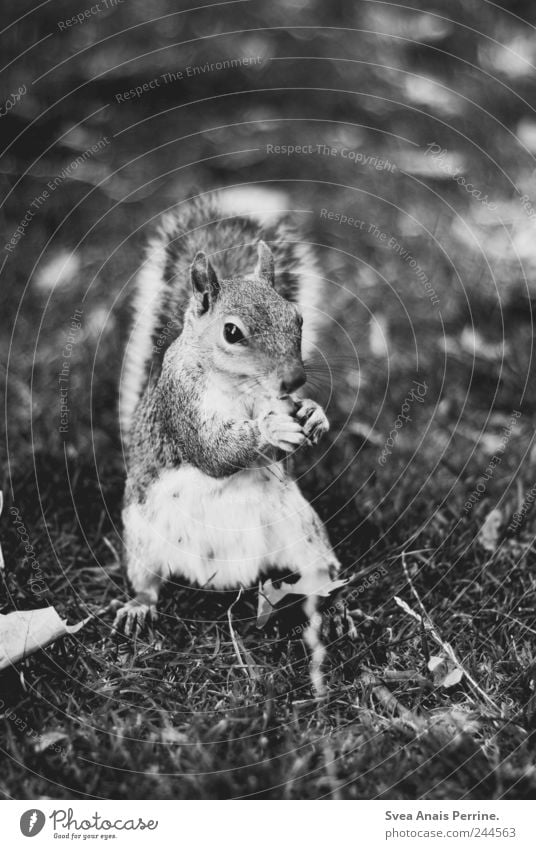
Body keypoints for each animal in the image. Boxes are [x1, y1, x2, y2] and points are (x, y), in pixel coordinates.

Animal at [115, 195, 354, 636]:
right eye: (231, 333)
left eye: (297, 318)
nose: (294, 380)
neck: (240, 387)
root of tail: (225, 574)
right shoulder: (181, 403)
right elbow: (212, 451)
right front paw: (270, 428)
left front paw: (315, 415)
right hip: (141, 537)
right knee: (147, 582)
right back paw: (139, 606)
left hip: (303, 531)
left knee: (317, 574)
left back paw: (333, 607)